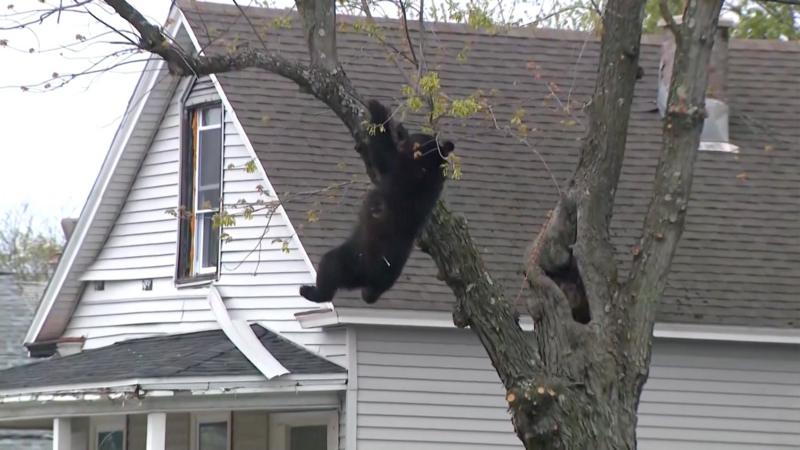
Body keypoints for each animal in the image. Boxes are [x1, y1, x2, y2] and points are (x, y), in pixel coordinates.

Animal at [299, 99, 455, 304]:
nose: (405, 134)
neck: (428, 166)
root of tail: (371, 280)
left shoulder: (402, 171)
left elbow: (383, 153)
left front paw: (377, 108)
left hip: (352, 259)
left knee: (329, 267)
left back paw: (311, 291)